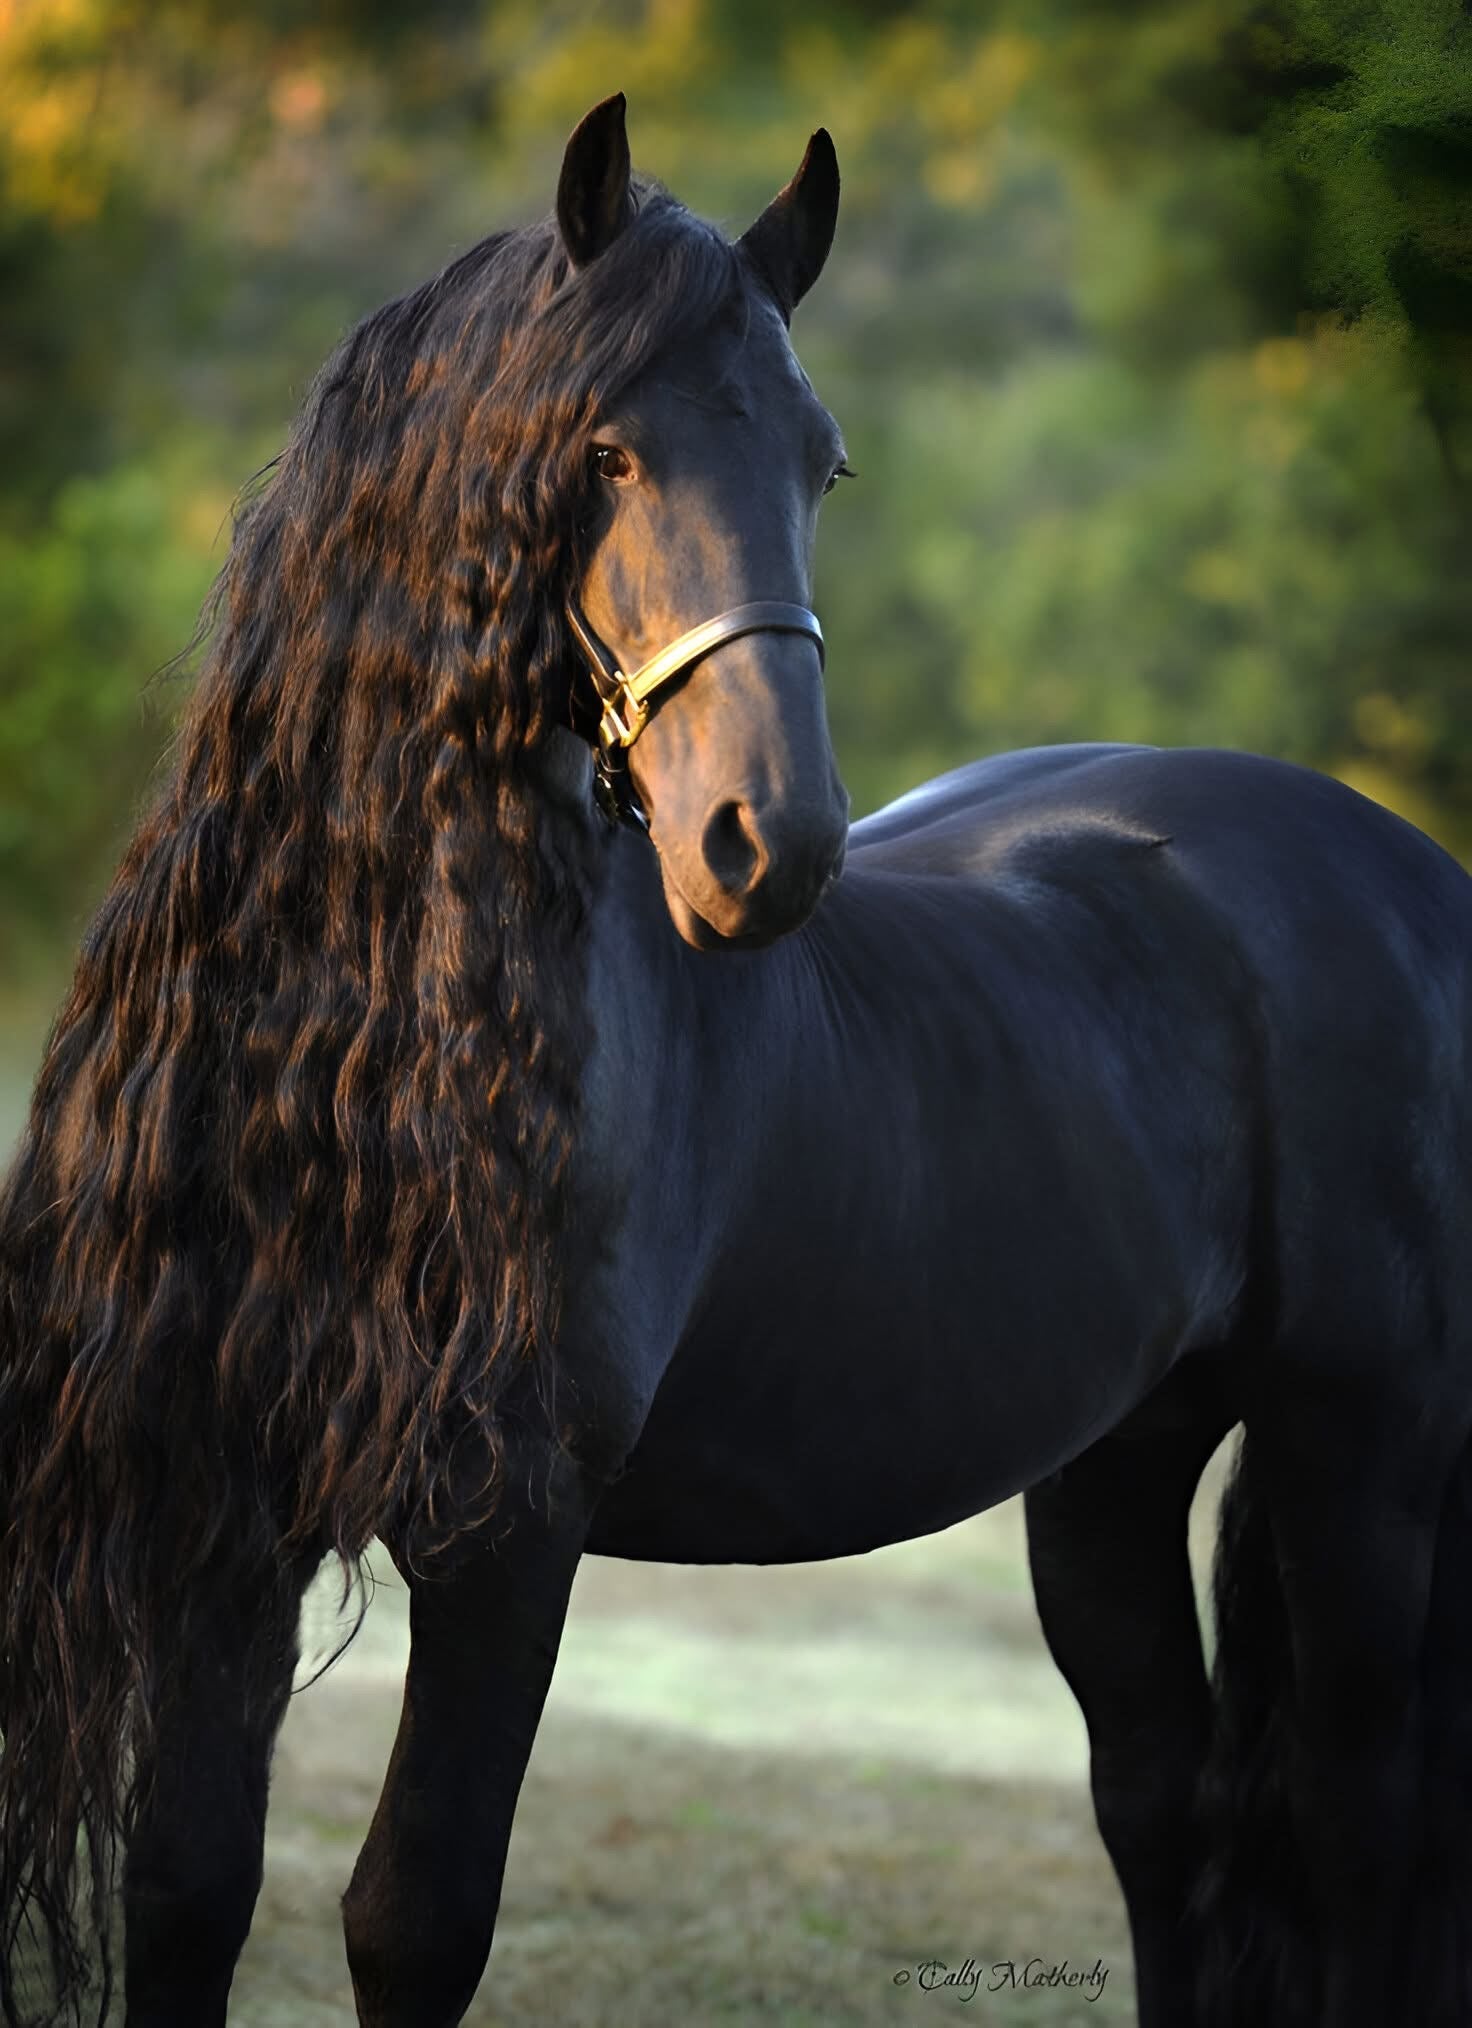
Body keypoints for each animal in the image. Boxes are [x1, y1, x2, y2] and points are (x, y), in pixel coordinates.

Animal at [2, 86, 1471, 2028]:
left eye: (822, 465)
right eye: (604, 451)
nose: (768, 843)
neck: (365, 1060)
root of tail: (1410, 873)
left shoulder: (506, 1538)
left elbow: (413, 1917)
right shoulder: (218, 1516)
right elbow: (186, 1889)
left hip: (1360, 1446)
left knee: (1367, 1822)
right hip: (1120, 1459)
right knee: (1168, 1806)